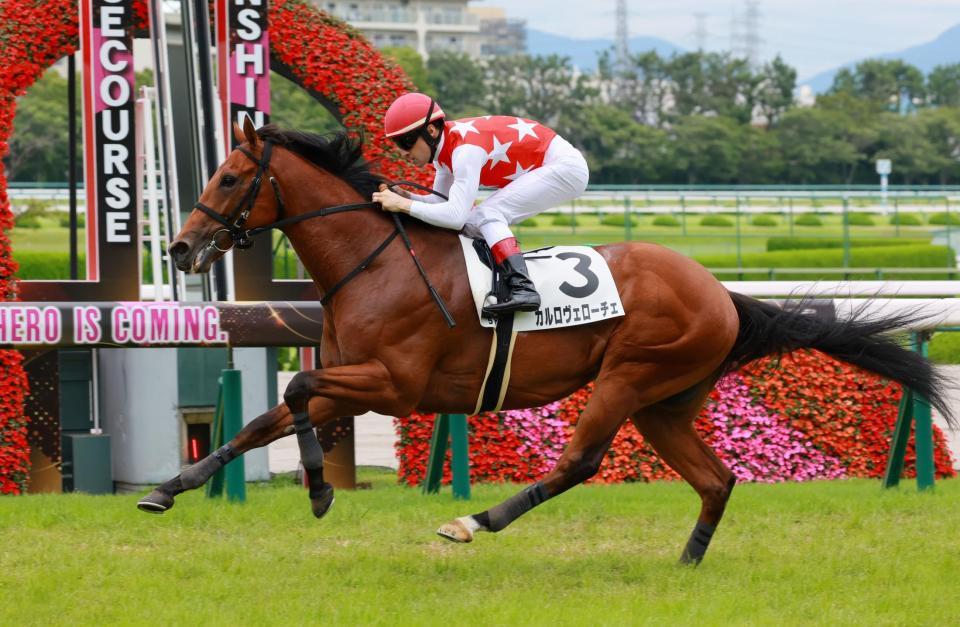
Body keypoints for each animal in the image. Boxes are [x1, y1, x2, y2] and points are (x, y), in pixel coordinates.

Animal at [139, 118, 956, 564]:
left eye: (232, 175)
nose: (178, 249)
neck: (372, 261)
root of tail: (719, 291)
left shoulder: (394, 384)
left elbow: (297, 388)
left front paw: (315, 489)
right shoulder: (354, 378)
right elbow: (260, 420)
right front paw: (168, 487)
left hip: (629, 375)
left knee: (580, 462)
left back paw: (473, 521)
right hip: (665, 402)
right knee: (717, 480)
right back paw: (687, 564)